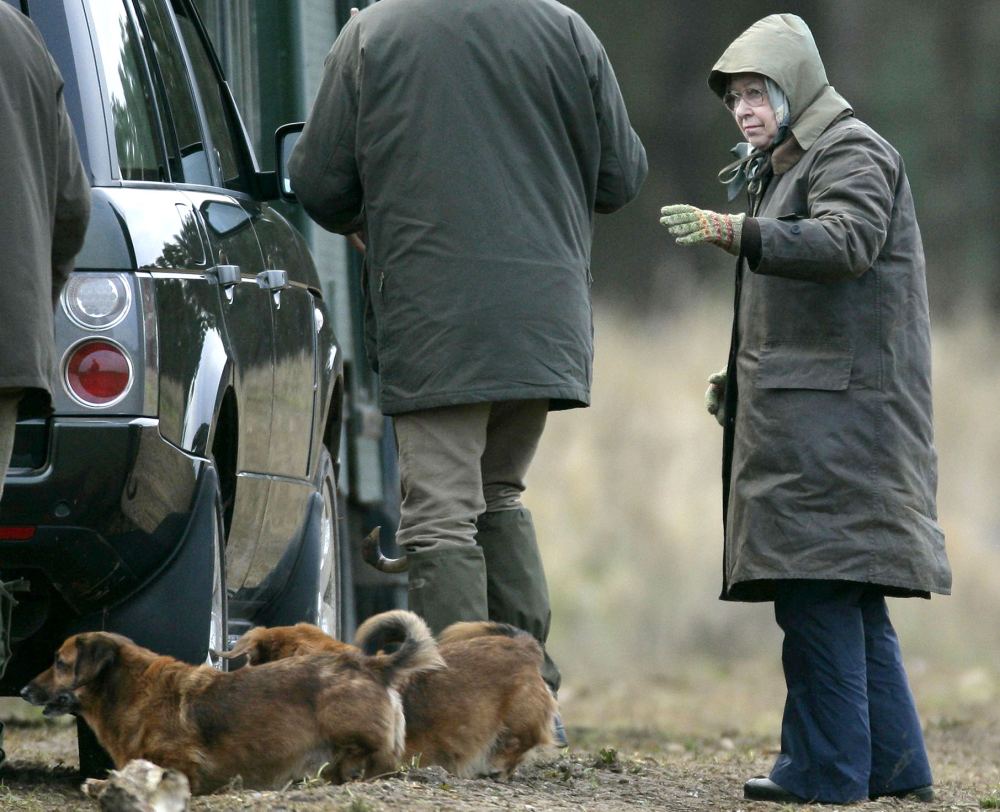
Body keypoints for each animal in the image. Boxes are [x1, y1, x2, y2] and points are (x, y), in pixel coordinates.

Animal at [18, 608, 442, 792]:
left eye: (59, 663)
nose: (22, 691)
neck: (130, 691)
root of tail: (373, 665)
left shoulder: (180, 768)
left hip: (347, 734)